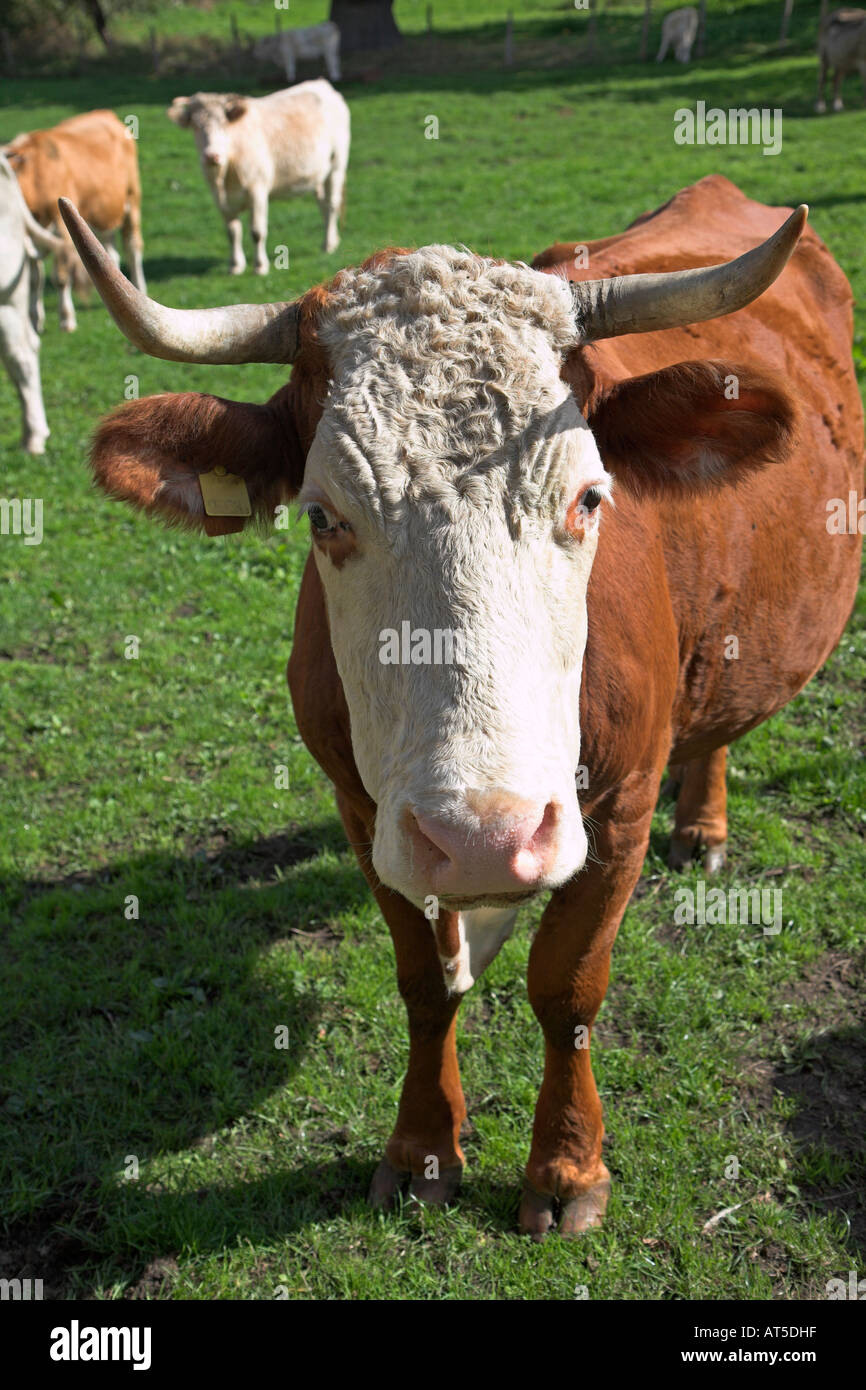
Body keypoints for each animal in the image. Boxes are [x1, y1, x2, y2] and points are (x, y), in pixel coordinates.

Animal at [4, 109, 145, 332]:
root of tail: (105, 113)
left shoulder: (60, 226)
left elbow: (60, 276)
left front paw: (66, 318)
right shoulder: (31, 235)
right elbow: (35, 278)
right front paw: (35, 319)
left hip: (132, 200)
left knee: (133, 246)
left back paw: (140, 287)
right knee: (110, 253)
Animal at [57, 173, 861, 1239]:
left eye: (589, 499)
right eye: (323, 515)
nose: (486, 840)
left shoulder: (620, 805)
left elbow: (567, 987)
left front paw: (566, 1169)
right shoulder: (365, 810)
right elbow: (424, 982)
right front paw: (422, 1147)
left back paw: (705, 824)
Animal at [167, 79, 350, 271]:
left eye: (224, 122)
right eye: (195, 126)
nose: (211, 155)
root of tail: (321, 83)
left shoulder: (257, 190)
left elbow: (257, 231)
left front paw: (260, 266)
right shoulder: (219, 197)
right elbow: (232, 231)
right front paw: (236, 265)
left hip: (337, 165)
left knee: (332, 204)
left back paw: (328, 244)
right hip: (318, 174)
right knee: (323, 203)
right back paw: (332, 241)